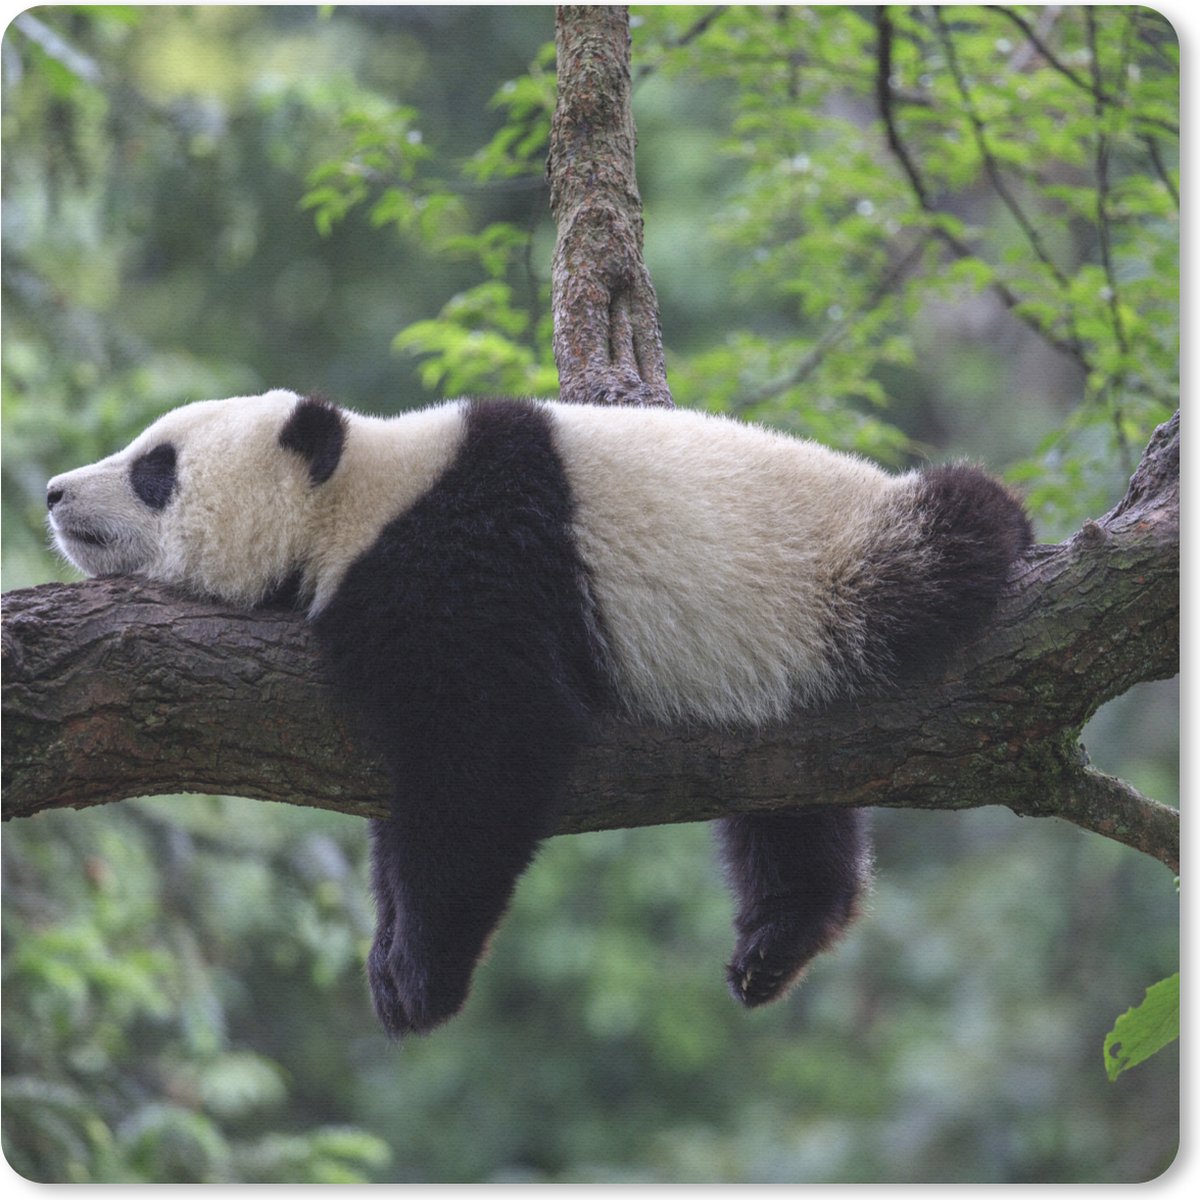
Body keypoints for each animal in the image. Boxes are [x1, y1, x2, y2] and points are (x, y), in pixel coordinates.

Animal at [46, 389, 1032, 1038]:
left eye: (155, 469)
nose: (54, 492)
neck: (361, 494)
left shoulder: (468, 561)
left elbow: (488, 753)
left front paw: (418, 977)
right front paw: (390, 952)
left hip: (843, 568)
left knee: (953, 532)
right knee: (789, 805)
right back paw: (779, 939)